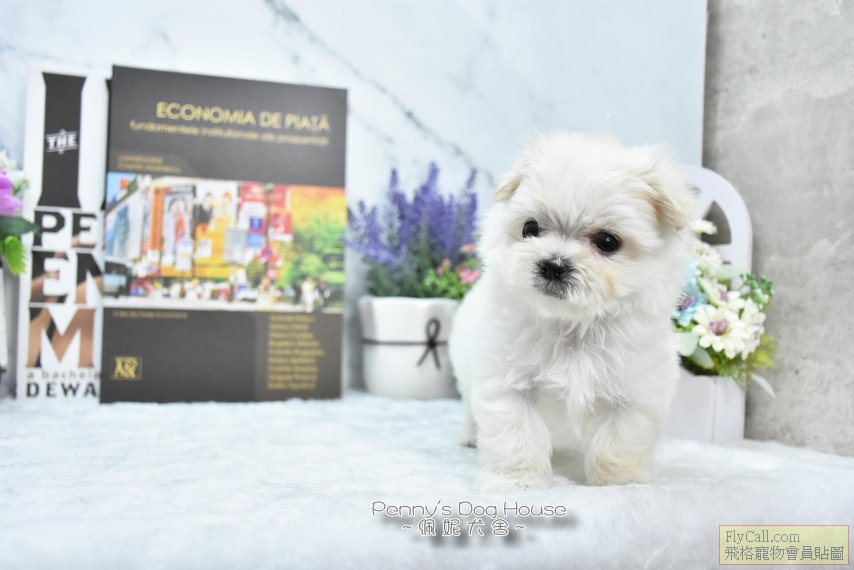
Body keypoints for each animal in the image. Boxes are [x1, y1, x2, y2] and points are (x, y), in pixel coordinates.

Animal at [448, 132, 694, 492]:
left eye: (607, 242)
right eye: (530, 228)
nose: (553, 265)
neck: (573, 325)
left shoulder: (632, 395)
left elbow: (618, 442)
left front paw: (619, 483)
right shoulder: (508, 386)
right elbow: (516, 437)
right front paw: (516, 482)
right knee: (468, 407)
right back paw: (468, 436)